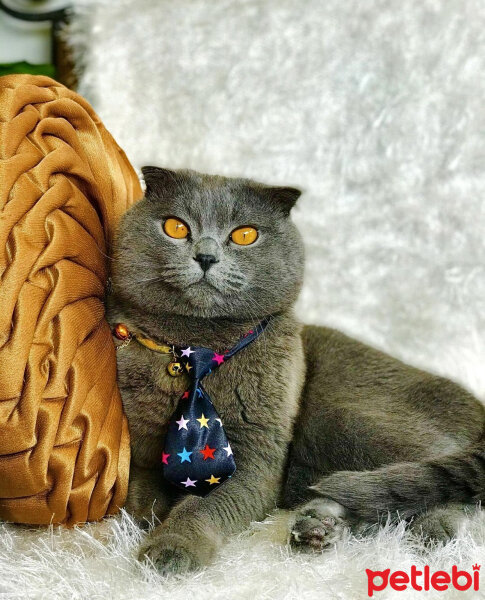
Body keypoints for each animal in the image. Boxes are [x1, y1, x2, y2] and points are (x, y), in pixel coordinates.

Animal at [107, 166, 484, 576]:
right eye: (175, 227)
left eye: (244, 234)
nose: (206, 255)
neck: (198, 348)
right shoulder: (139, 448)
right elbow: (139, 493)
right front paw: (144, 516)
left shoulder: (256, 456)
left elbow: (203, 505)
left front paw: (172, 548)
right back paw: (318, 526)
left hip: (346, 416)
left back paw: (431, 531)